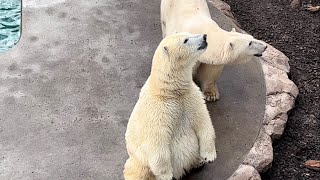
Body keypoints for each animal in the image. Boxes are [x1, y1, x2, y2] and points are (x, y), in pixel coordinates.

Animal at [124, 33, 216, 179]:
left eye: (189, 34)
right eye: (186, 40)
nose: (204, 36)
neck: (168, 90)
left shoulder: (191, 97)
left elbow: (203, 122)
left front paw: (209, 156)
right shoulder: (158, 110)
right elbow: (157, 142)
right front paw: (167, 175)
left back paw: (198, 162)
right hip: (139, 160)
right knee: (137, 171)